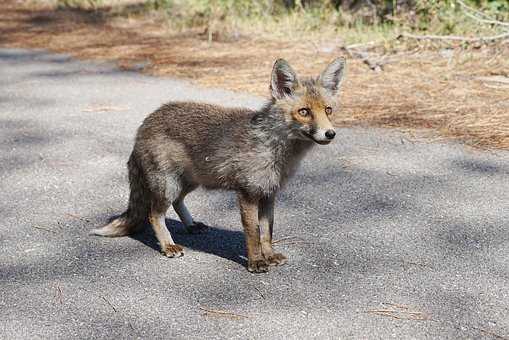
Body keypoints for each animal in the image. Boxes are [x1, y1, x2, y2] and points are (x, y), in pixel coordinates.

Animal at [90, 57, 346, 272]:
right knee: (154, 215)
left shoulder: (269, 193)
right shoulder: (248, 193)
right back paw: (168, 245)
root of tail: (146, 122)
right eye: (304, 112)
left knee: (178, 202)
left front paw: (270, 255)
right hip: (168, 185)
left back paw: (192, 226)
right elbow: (253, 233)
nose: (330, 134)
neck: (274, 149)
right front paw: (256, 262)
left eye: (328, 110)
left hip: (192, 181)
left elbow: (267, 232)